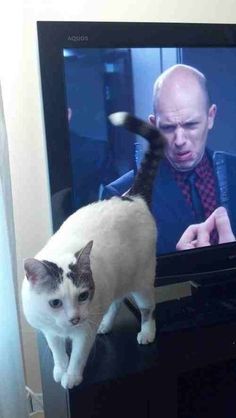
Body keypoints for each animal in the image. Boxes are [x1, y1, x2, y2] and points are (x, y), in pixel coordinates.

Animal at [22, 112, 164, 390]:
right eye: (55, 302)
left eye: (83, 296)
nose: (75, 318)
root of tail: (132, 197)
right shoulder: (49, 331)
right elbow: (57, 351)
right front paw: (59, 369)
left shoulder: (83, 330)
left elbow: (78, 355)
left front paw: (71, 376)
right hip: (119, 279)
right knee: (116, 301)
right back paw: (106, 325)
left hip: (142, 280)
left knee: (146, 309)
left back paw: (146, 332)